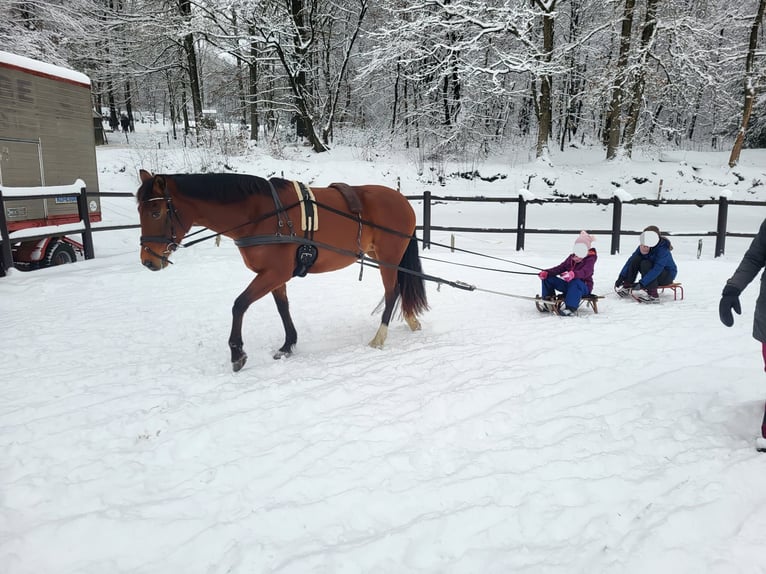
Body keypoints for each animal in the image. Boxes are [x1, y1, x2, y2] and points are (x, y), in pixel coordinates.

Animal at [136, 170, 428, 372]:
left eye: (155, 212)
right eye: (139, 209)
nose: (148, 260)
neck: (259, 214)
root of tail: (402, 200)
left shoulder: (273, 273)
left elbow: (239, 305)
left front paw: (237, 353)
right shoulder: (275, 276)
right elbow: (282, 307)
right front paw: (288, 344)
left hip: (388, 258)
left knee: (391, 292)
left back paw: (379, 337)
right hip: (384, 257)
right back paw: (411, 320)